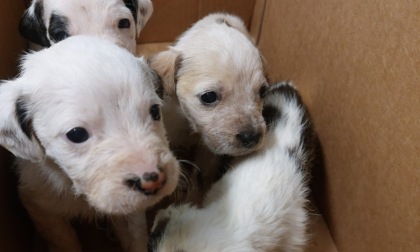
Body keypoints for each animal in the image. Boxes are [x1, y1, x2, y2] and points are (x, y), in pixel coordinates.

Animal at [0, 36, 179, 252]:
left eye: (154, 111)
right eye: (77, 134)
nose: (154, 180)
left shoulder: (131, 213)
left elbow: (135, 237)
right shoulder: (41, 207)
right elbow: (64, 241)